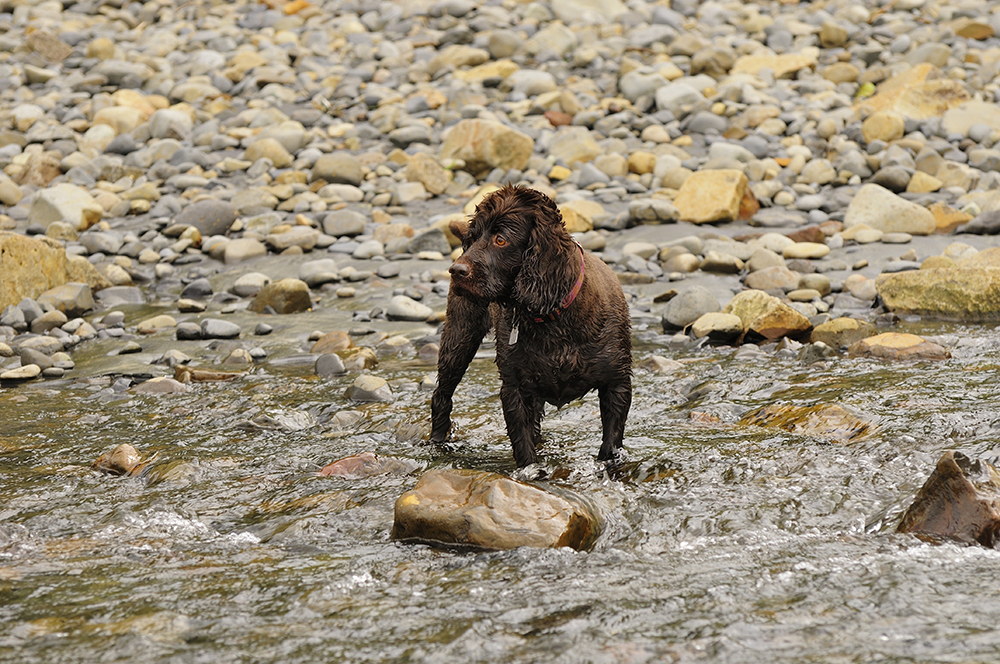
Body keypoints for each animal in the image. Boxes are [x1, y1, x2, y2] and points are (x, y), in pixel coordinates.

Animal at [432, 184, 632, 470]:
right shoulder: (514, 389)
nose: (456, 270)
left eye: (501, 239)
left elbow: (611, 443)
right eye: (473, 237)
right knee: (441, 395)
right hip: (459, 337)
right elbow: (524, 446)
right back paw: (437, 444)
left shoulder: (617, 384)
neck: (552, 318)